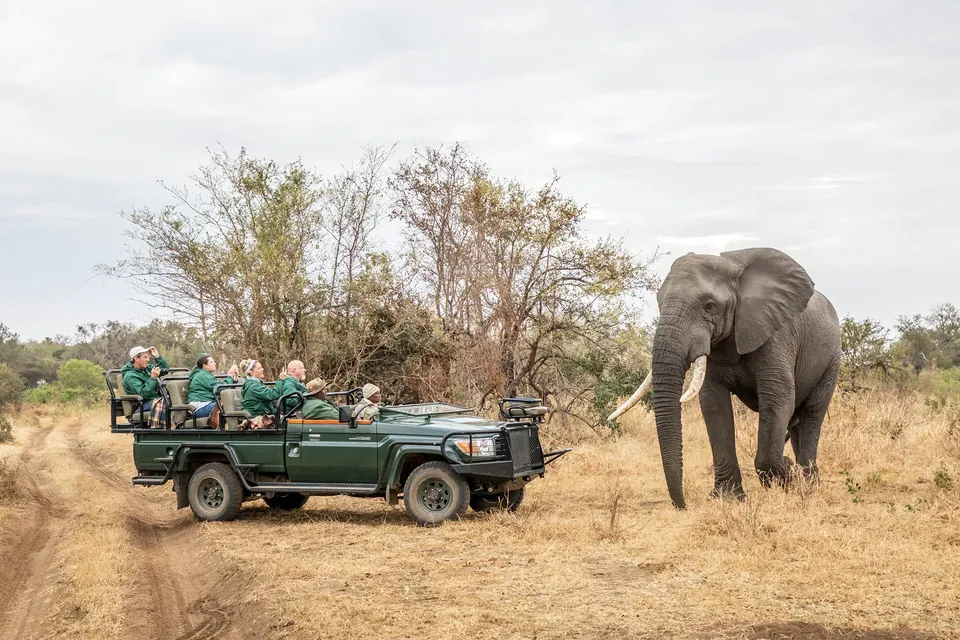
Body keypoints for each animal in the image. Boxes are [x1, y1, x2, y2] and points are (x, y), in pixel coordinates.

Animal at [609, 247, 842, 510]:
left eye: (709, 306)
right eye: (659, 303)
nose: (682, 506)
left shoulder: (777, 336)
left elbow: (778, 397)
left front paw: (786, 474)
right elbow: (713, 404)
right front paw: (728, 498)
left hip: (831, 360)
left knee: (812, 414)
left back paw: (808, 486)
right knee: (797, 422)